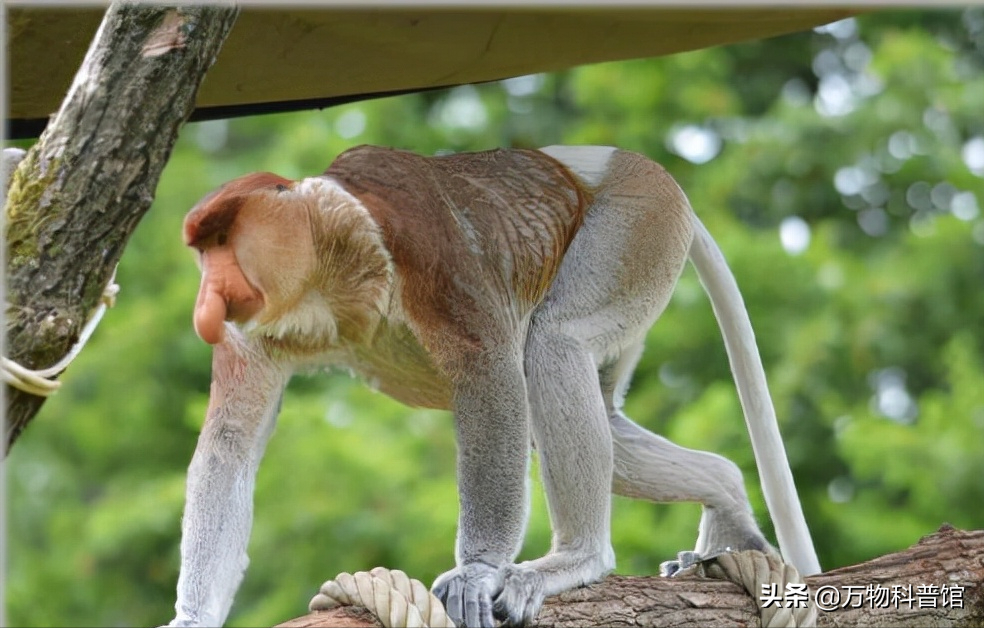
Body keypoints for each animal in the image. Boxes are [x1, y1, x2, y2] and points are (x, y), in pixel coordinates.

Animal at [171, 146, 824, 628]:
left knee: (553, 345)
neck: (329, 272)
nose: (206, 302)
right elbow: (230, 446)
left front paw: (478, 571)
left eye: (223, 240)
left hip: (637, 225)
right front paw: (192, 618)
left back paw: (576, 560)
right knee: (602, 418)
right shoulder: (255, 332)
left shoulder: (423, 242)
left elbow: (492, 373)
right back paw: (728, 504)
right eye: (203, 250)